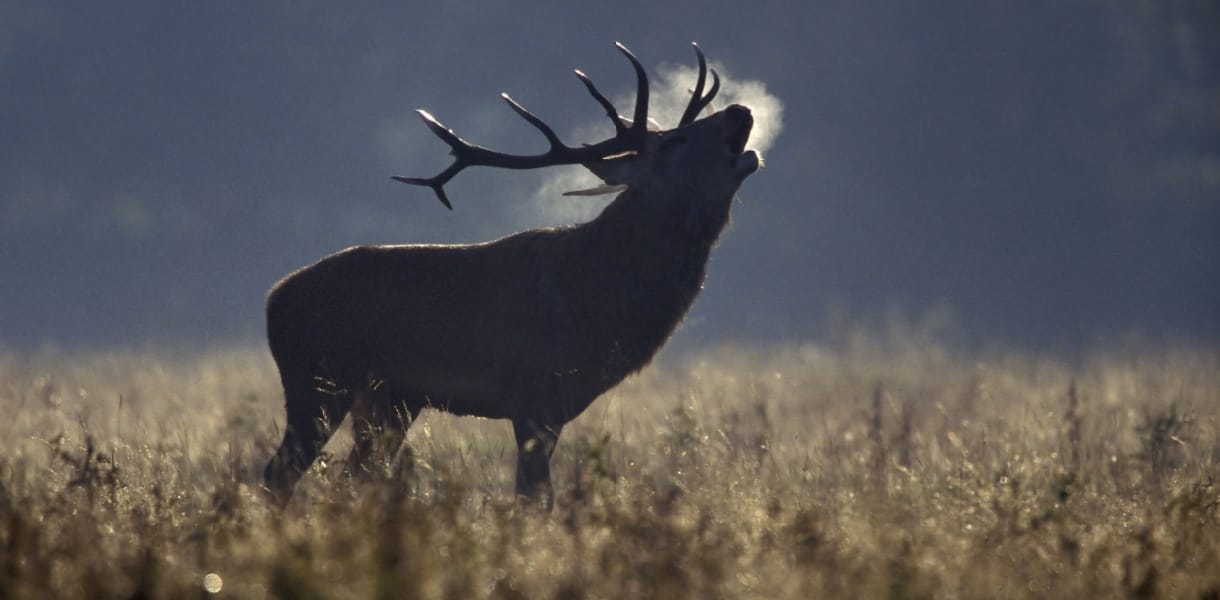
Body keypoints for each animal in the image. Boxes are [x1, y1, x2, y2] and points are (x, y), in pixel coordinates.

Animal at [262, 43, 761, 508]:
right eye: (673, 142)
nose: (740, 109)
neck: (601, 301)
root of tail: (272, 300)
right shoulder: (535, 397)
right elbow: (534, 499)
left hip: (390, 402)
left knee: (353, 477)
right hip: (319, 380)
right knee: (279, 474)